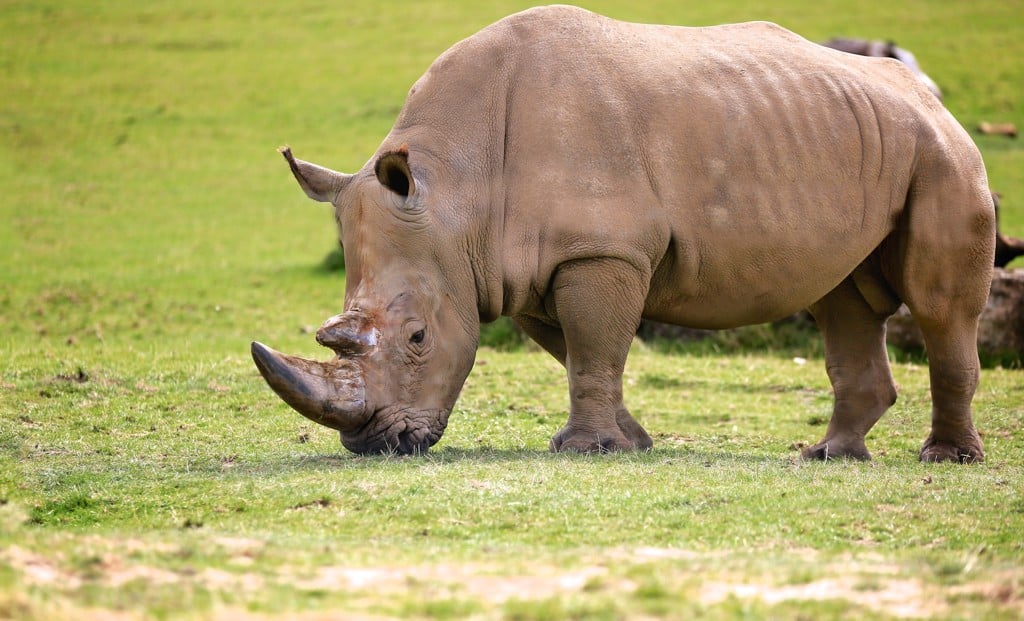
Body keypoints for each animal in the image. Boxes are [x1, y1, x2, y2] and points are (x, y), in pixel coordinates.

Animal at [251, 4, 995, 463]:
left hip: (942, 153)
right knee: (840, 297)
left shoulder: (598, 250)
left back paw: (946, 458)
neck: (457, 189)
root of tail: (926, 93)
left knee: (937, 306)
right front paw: (631, 441)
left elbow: (592, 348)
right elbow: (579, 351)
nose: (378, 442)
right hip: (862, 139)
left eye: (417, 338)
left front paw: (584, 449)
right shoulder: (522, 265)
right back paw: (829, 456)